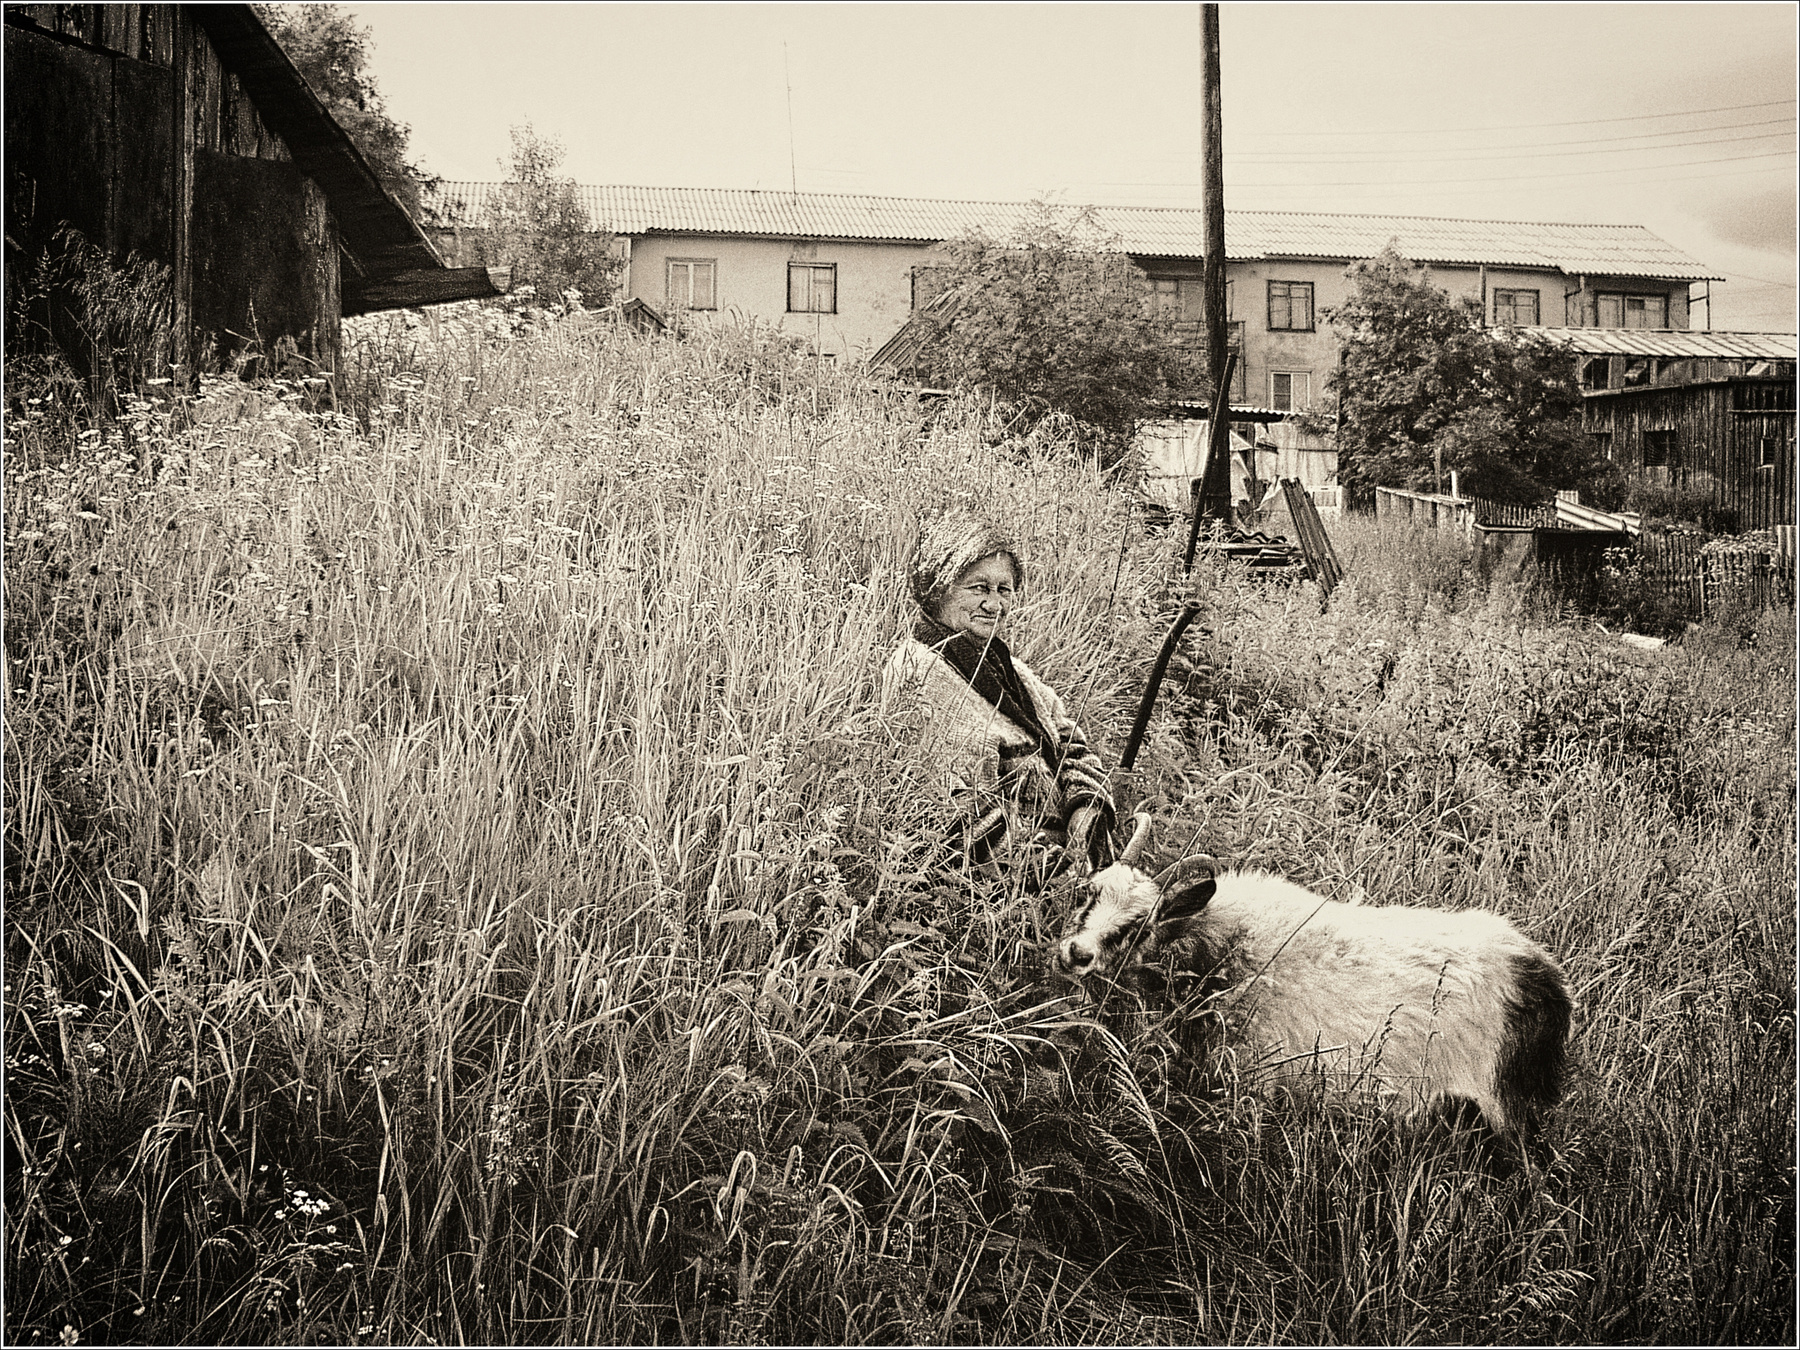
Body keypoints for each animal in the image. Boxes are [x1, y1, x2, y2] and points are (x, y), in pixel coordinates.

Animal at [1055, 815, 1571, 1139]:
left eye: (1138, 927)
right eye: (1088, 892)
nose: (1076, 954)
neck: (1224, 951)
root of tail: (1545, 982)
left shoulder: (1253, 1076)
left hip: (1502, 1111)